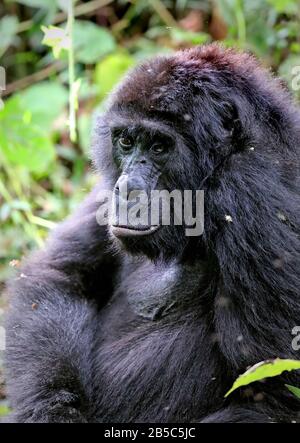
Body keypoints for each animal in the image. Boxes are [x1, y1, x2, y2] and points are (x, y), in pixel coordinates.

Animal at [4, 44, 300, 424]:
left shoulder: (252, 190)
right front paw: (51, 410)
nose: (126, 189)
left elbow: (275, 398)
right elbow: (59, 275)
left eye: (160, 147)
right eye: (126, 142)